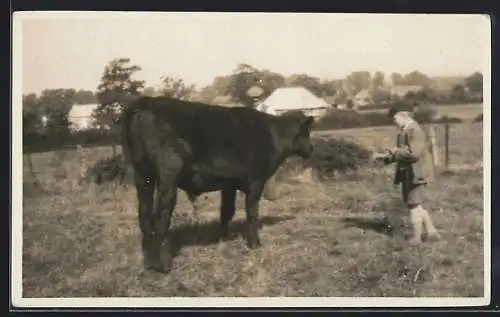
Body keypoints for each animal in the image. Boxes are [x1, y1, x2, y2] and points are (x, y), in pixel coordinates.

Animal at [121, 96, 314, 272]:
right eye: (306, 132)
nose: (311, 149)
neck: (273, 135)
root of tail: (145, 101)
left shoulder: (229, 184)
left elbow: (226, 211)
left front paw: (224, 238)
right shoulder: (256, 181)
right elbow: (251, 212)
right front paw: (255, 244)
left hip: (142, 174)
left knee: (144, 215)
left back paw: (148, 263)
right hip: (168, 173)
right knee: (161, 217)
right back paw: (164, 265)